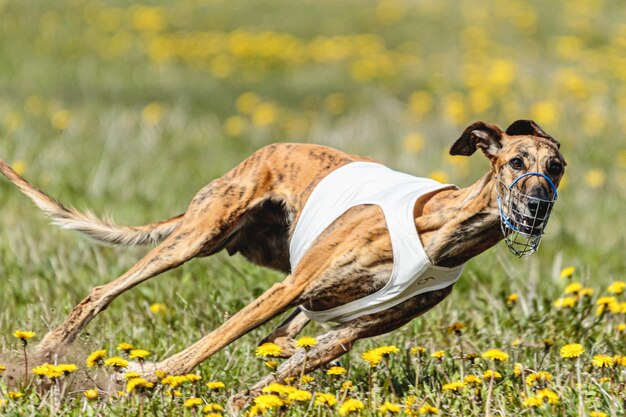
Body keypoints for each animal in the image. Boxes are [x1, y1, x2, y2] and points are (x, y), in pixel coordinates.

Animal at [0, 120, 564, 406]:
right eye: (516, 161)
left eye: (556, 166)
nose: (538, 207)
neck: (444, 230)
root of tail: (262, 151)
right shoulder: (289, 290)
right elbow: (210, 343)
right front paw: (144, 376)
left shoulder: (349, 331)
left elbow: (284, 368)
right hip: (196, 239)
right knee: (102, 292)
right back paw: (40, 360)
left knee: (280, 341)